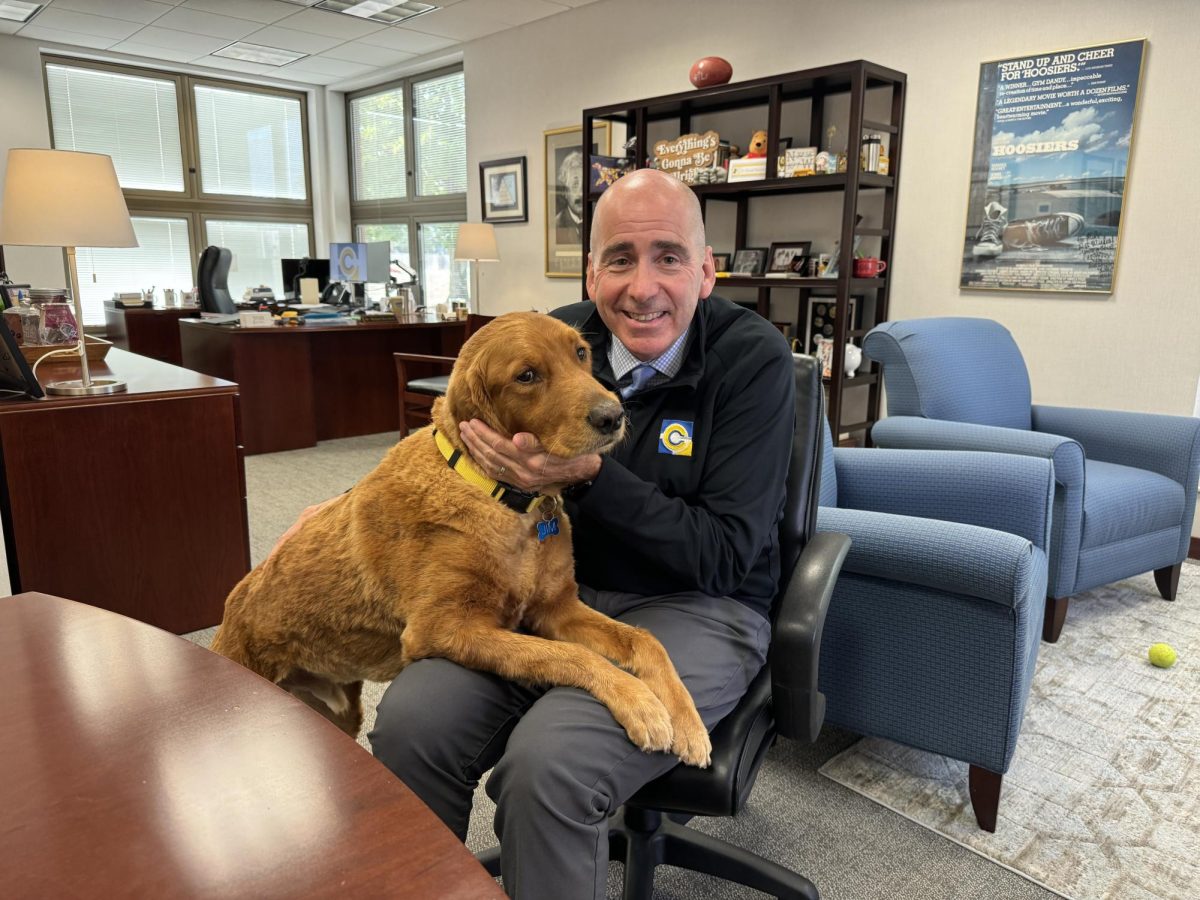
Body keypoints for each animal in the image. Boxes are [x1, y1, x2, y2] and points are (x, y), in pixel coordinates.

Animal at [211, 312, 705, 768]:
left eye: (581, 353)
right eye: (527, 376)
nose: (613, 415)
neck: (505, 499)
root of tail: (230, 611)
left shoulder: (557, 608)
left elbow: (645, 639)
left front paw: (687, 721)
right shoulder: (446, 628)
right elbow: (572, 657)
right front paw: (640, 703)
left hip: (338, 712)